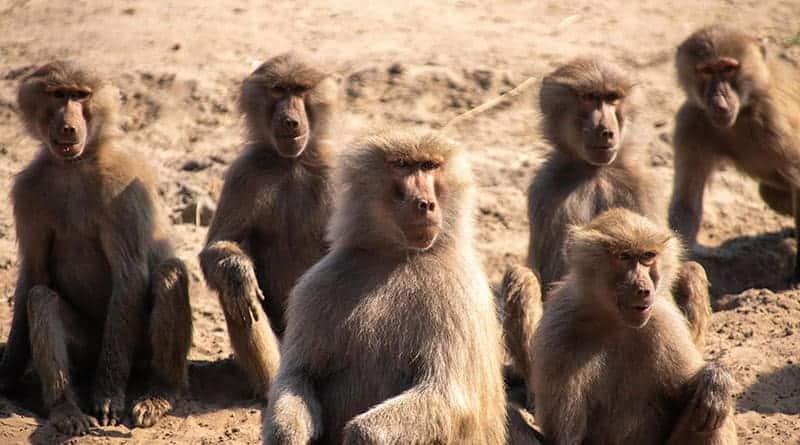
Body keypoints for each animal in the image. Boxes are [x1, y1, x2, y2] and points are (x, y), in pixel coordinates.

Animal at [0, 61, 192, 436]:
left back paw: (160, 393)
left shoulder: (123, 186)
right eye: (58, 95)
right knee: (42, 299)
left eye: (81, 96)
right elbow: (34, 275)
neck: (75, 166)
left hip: (137, 347)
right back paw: (66, 409)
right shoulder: (28, 191)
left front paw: (107, 396)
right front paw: (7, 374)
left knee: (168, 272)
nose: (68, 126)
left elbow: (129, 275)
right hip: (88, 346)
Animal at [198, 52, 340, 396]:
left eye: (300, 90)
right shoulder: (243, 173)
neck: (291, 163)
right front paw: (237, 272)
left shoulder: (333, 171)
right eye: (278, 90)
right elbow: (218, 248)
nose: (289, 120)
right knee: (234, 297)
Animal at [263, 131, 508, 444]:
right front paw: (287, 435)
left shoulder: (458, 293)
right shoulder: (318, 286)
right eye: (402, 165)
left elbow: (446, 395)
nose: (425, 204)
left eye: (429, 165)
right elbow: (296, 376)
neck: (397, 257)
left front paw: (359, 436)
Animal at [531, 208, 737, 444]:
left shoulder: (664, 322)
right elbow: (566, 436)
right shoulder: (559, 334)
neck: (612, 322)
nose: (643, 290)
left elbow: (690, 390)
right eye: (624, 257)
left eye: (647, 256)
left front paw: (716, 380)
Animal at [669, 25, 800, 286]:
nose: (718, 99)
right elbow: (686, 201)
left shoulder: (771, 117)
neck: (742, 112)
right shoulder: (691, 121)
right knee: (769, 193)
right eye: (706, 70)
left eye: (728, 69)